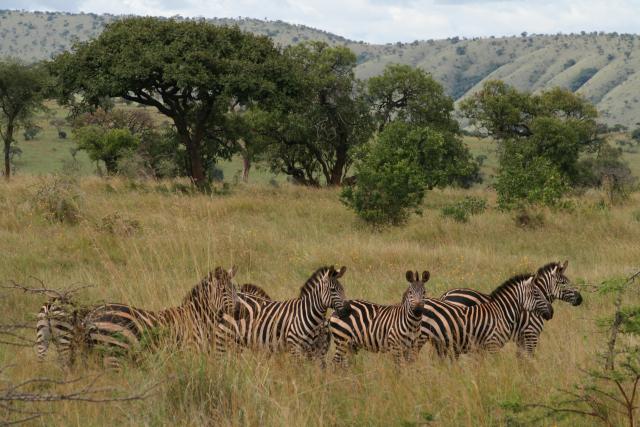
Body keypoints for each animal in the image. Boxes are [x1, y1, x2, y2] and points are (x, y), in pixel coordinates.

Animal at [35, 266, 240, 367]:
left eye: (235, 289)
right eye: (224, 291)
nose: (238, 312)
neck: (196, 317)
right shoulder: (189, 350)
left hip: (45, 341)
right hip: (113, 351)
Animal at [215, 266, 348, 361]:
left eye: (343, 289)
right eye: (333, 290)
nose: (346, 312)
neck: (306, 312)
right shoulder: (295, 348)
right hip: (224, 338)